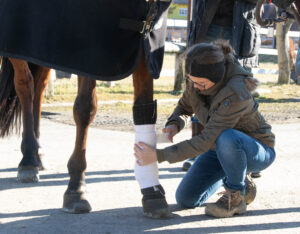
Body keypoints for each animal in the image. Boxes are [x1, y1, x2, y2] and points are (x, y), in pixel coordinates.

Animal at [0, 0, 171, 218]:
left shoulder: (143, 39)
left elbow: (144, 106)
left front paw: (153, 194)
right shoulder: (88, 51)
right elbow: (85, 108)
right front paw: (76, 189)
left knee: (38, 86)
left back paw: (37, 154)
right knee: (25, 85)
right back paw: (28, 159)